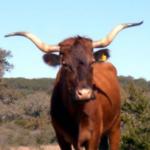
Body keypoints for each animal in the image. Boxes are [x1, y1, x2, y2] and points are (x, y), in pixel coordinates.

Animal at [4, 20, 143, 149]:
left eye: (92, 62)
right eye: (65, 64)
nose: (85, 93)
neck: (75, 114)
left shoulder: (93, 137)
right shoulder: (61, 138)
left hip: (115, 127)